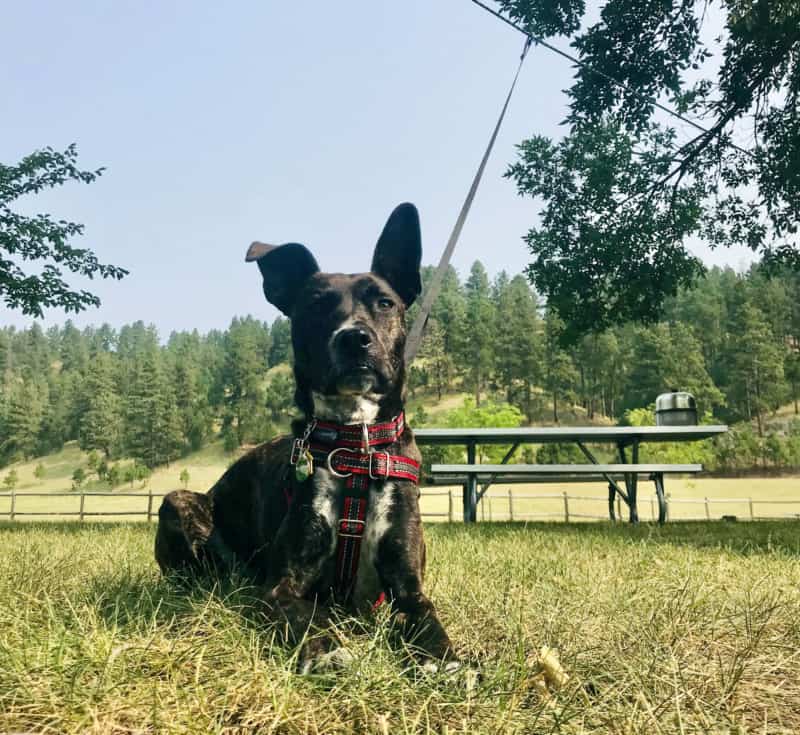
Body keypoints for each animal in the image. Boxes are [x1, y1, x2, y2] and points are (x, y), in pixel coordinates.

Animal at [154, 204, 460, 676]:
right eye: (316, 305)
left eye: (385, 302)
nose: (354, 338)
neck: (355, 443)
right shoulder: (284, 586)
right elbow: (308, 617)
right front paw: (328, 651)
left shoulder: (409, 590)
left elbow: (430, 625)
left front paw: (443, 663)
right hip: (178, 502)